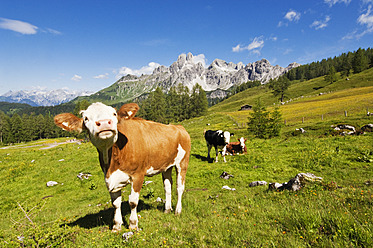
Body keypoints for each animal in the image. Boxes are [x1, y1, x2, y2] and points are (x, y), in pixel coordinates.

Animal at [53, 101, 190, 232]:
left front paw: (133, 225)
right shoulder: (110, 179)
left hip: (183, 162)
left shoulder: (138, 175)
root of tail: (178, 127)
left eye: (114, 114)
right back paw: (167, 209)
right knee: (167, 186)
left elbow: (133, 202)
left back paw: (177, 211)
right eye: (86, 118)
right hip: (166, 166)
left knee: (179, 187)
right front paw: (117, 226)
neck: (112, 160)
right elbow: (115, 203)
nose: (104, 123)